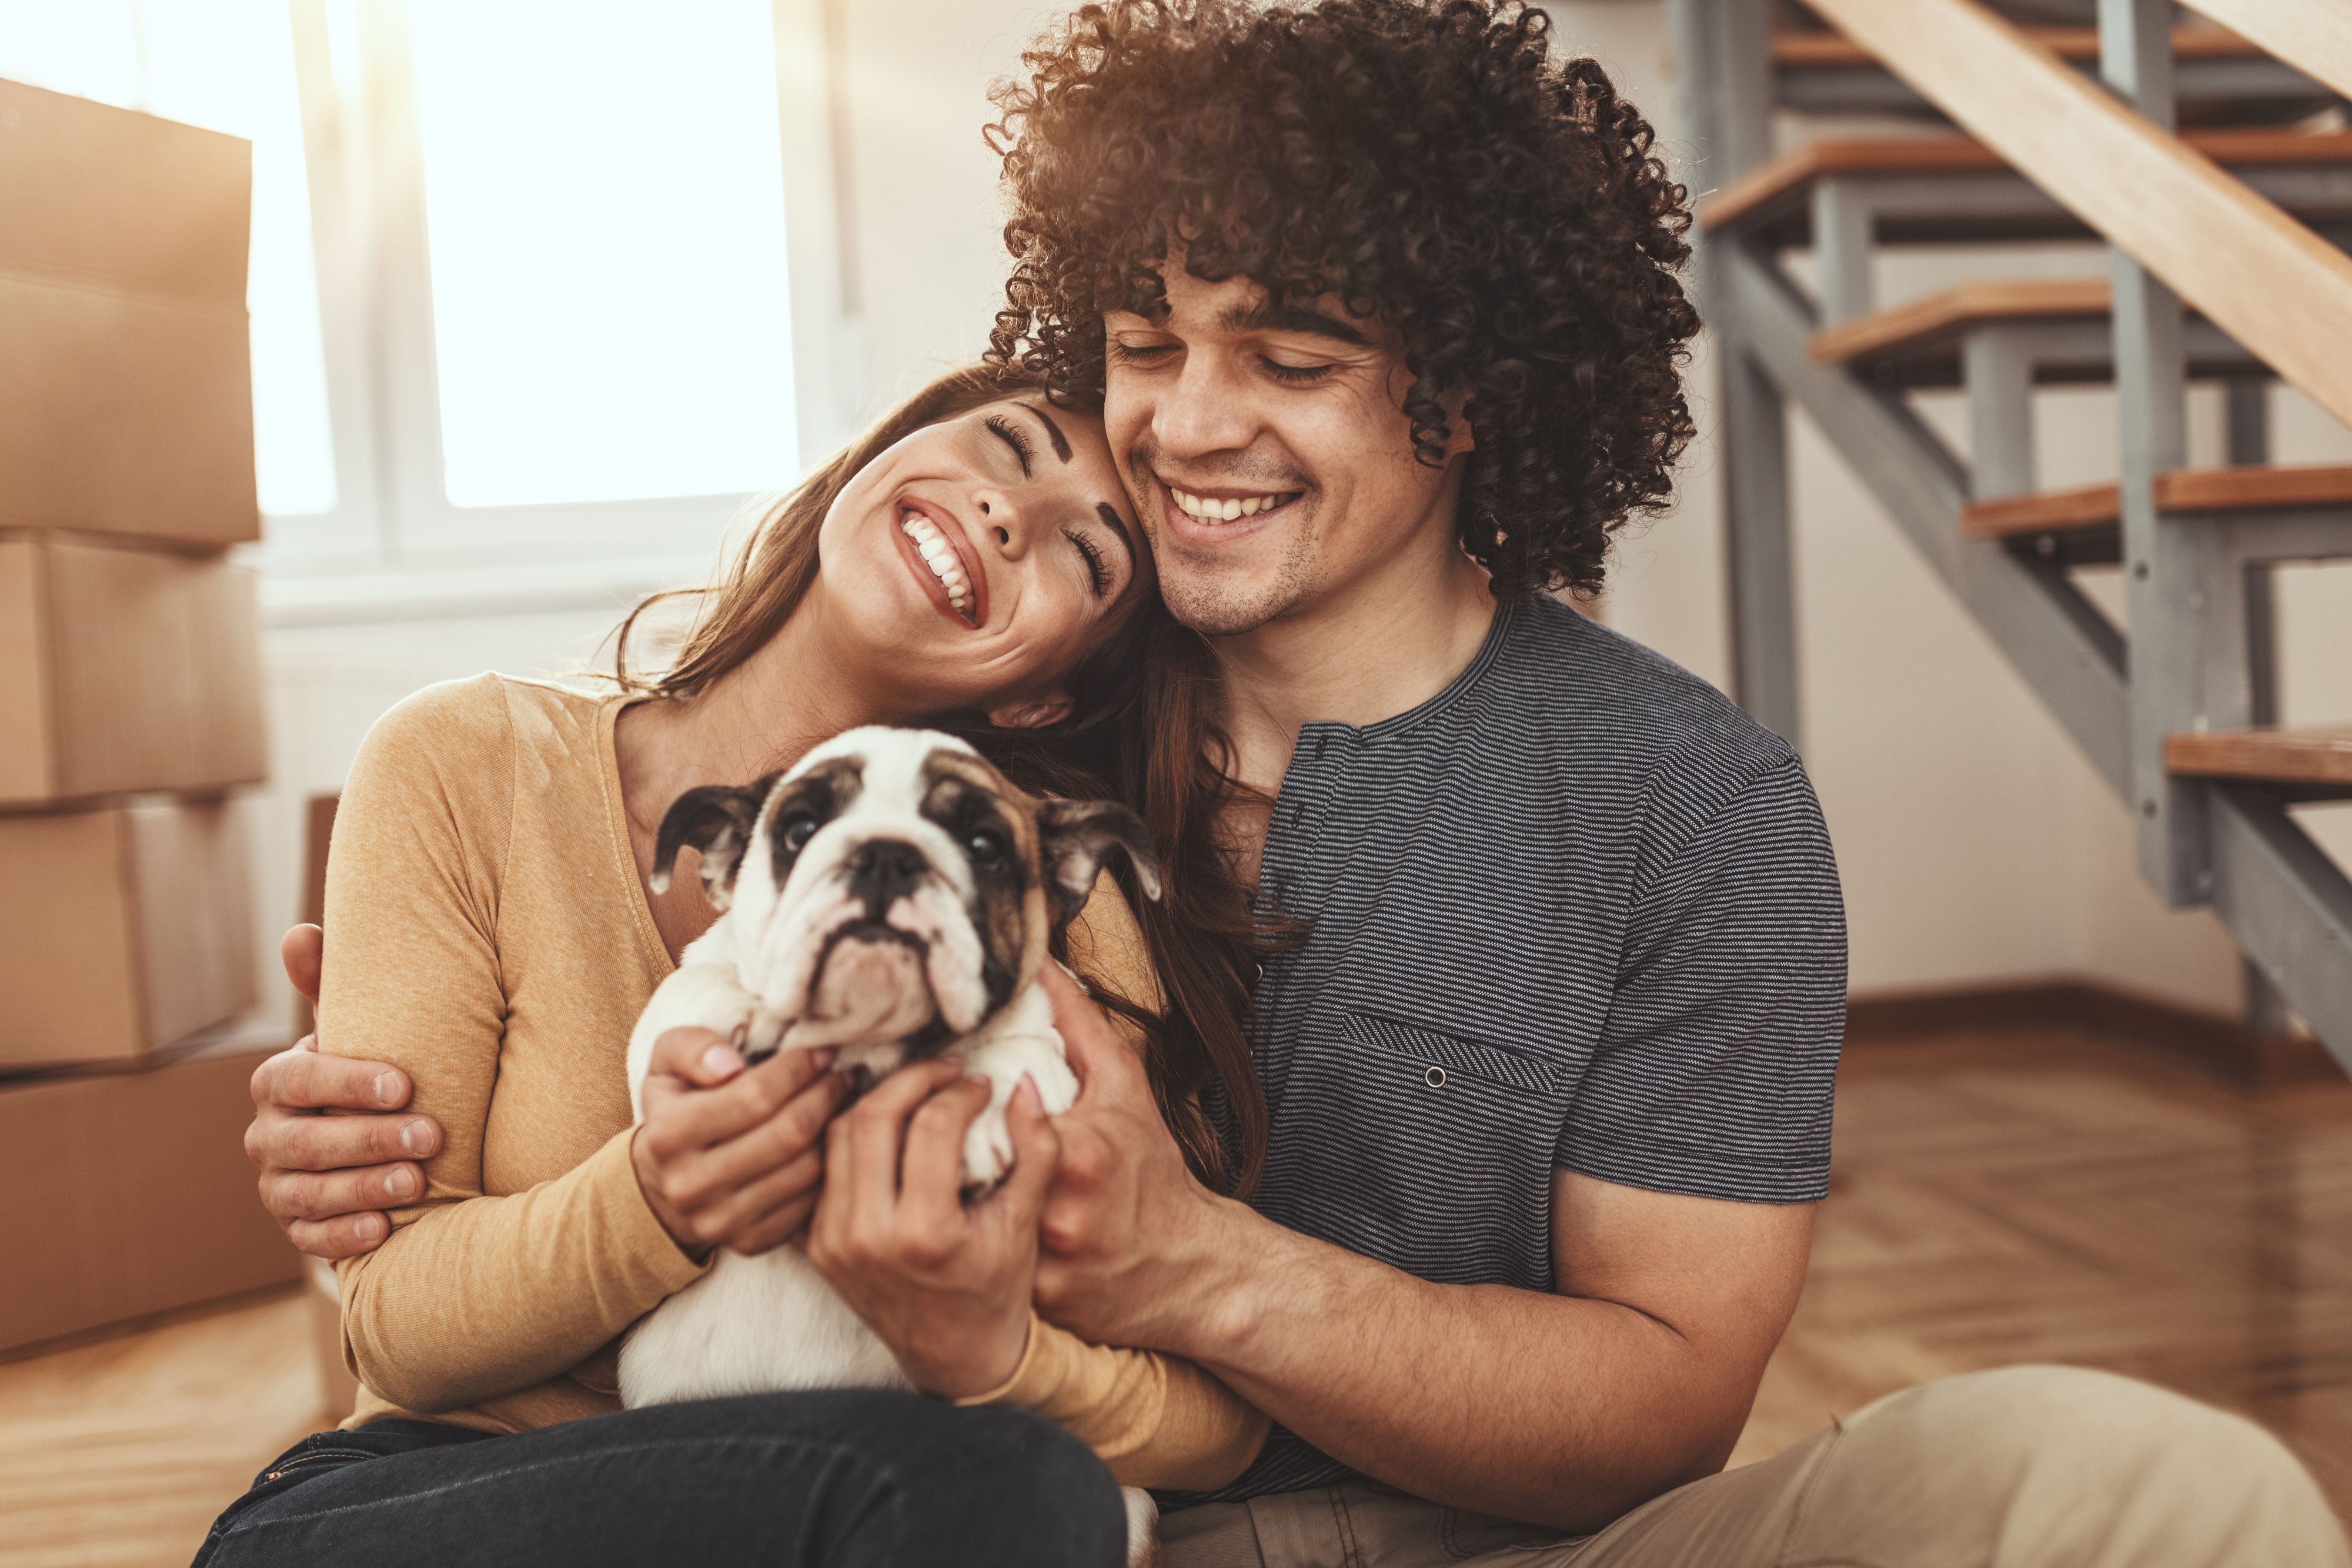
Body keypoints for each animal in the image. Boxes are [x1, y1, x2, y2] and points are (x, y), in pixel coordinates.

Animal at [616, 728, 1167, 1561]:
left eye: (984, 846)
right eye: (799, 829)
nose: (885, 855)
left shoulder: (1049, 1045)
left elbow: (1018, 1059)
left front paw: (973, 1113)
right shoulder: (684, 1003)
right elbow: (693, 997)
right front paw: (747, 1024)